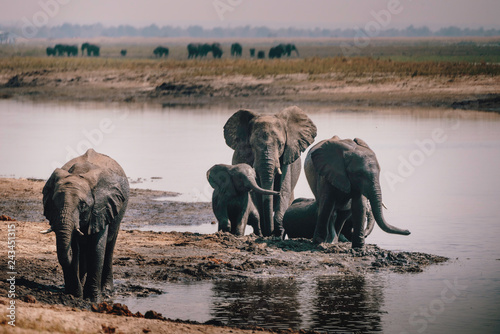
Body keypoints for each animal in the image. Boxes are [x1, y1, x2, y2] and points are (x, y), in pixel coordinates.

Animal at [41, 150, 129, 302]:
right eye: (54, 203)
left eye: (83, 205)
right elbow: (75, 247)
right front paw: (75, 294)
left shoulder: (101, 207)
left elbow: (97, 248)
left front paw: (93, 299)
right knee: (82, 250)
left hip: (119, 212)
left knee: (109, 247)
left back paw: (107, 291)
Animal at [224, 107, 316, 237]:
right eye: (252, 145)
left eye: (281, 145)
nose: (270, 233)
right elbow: (256, 193)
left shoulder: (287, 158)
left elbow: (284, 190)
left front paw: (278, 232)